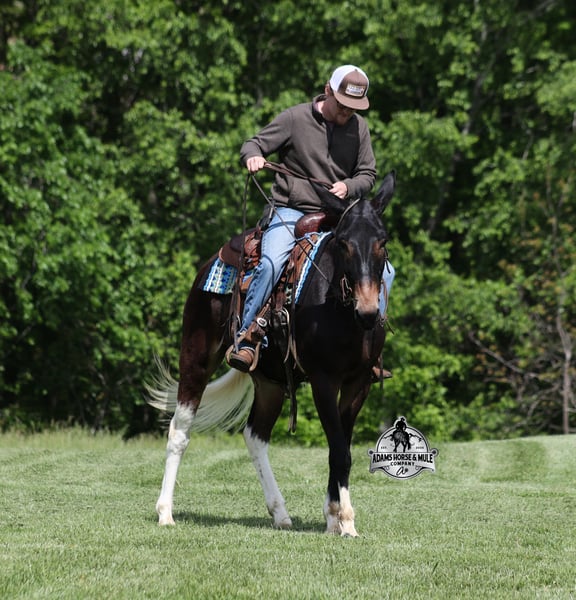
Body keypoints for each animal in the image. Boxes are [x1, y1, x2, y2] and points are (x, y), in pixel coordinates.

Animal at [147, 171, 396, 537]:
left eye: (382, 241)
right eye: (343, 242)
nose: (367, 311)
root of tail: (212, 261)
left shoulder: (358, 383)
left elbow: (342, 446)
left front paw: (333, 517)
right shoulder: (324, 381)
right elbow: (339, 450)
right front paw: (345, 520)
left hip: (271, 383)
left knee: (255, 436)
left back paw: (279, 512)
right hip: (195, 356)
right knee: (180, 429)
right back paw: (165, 512)